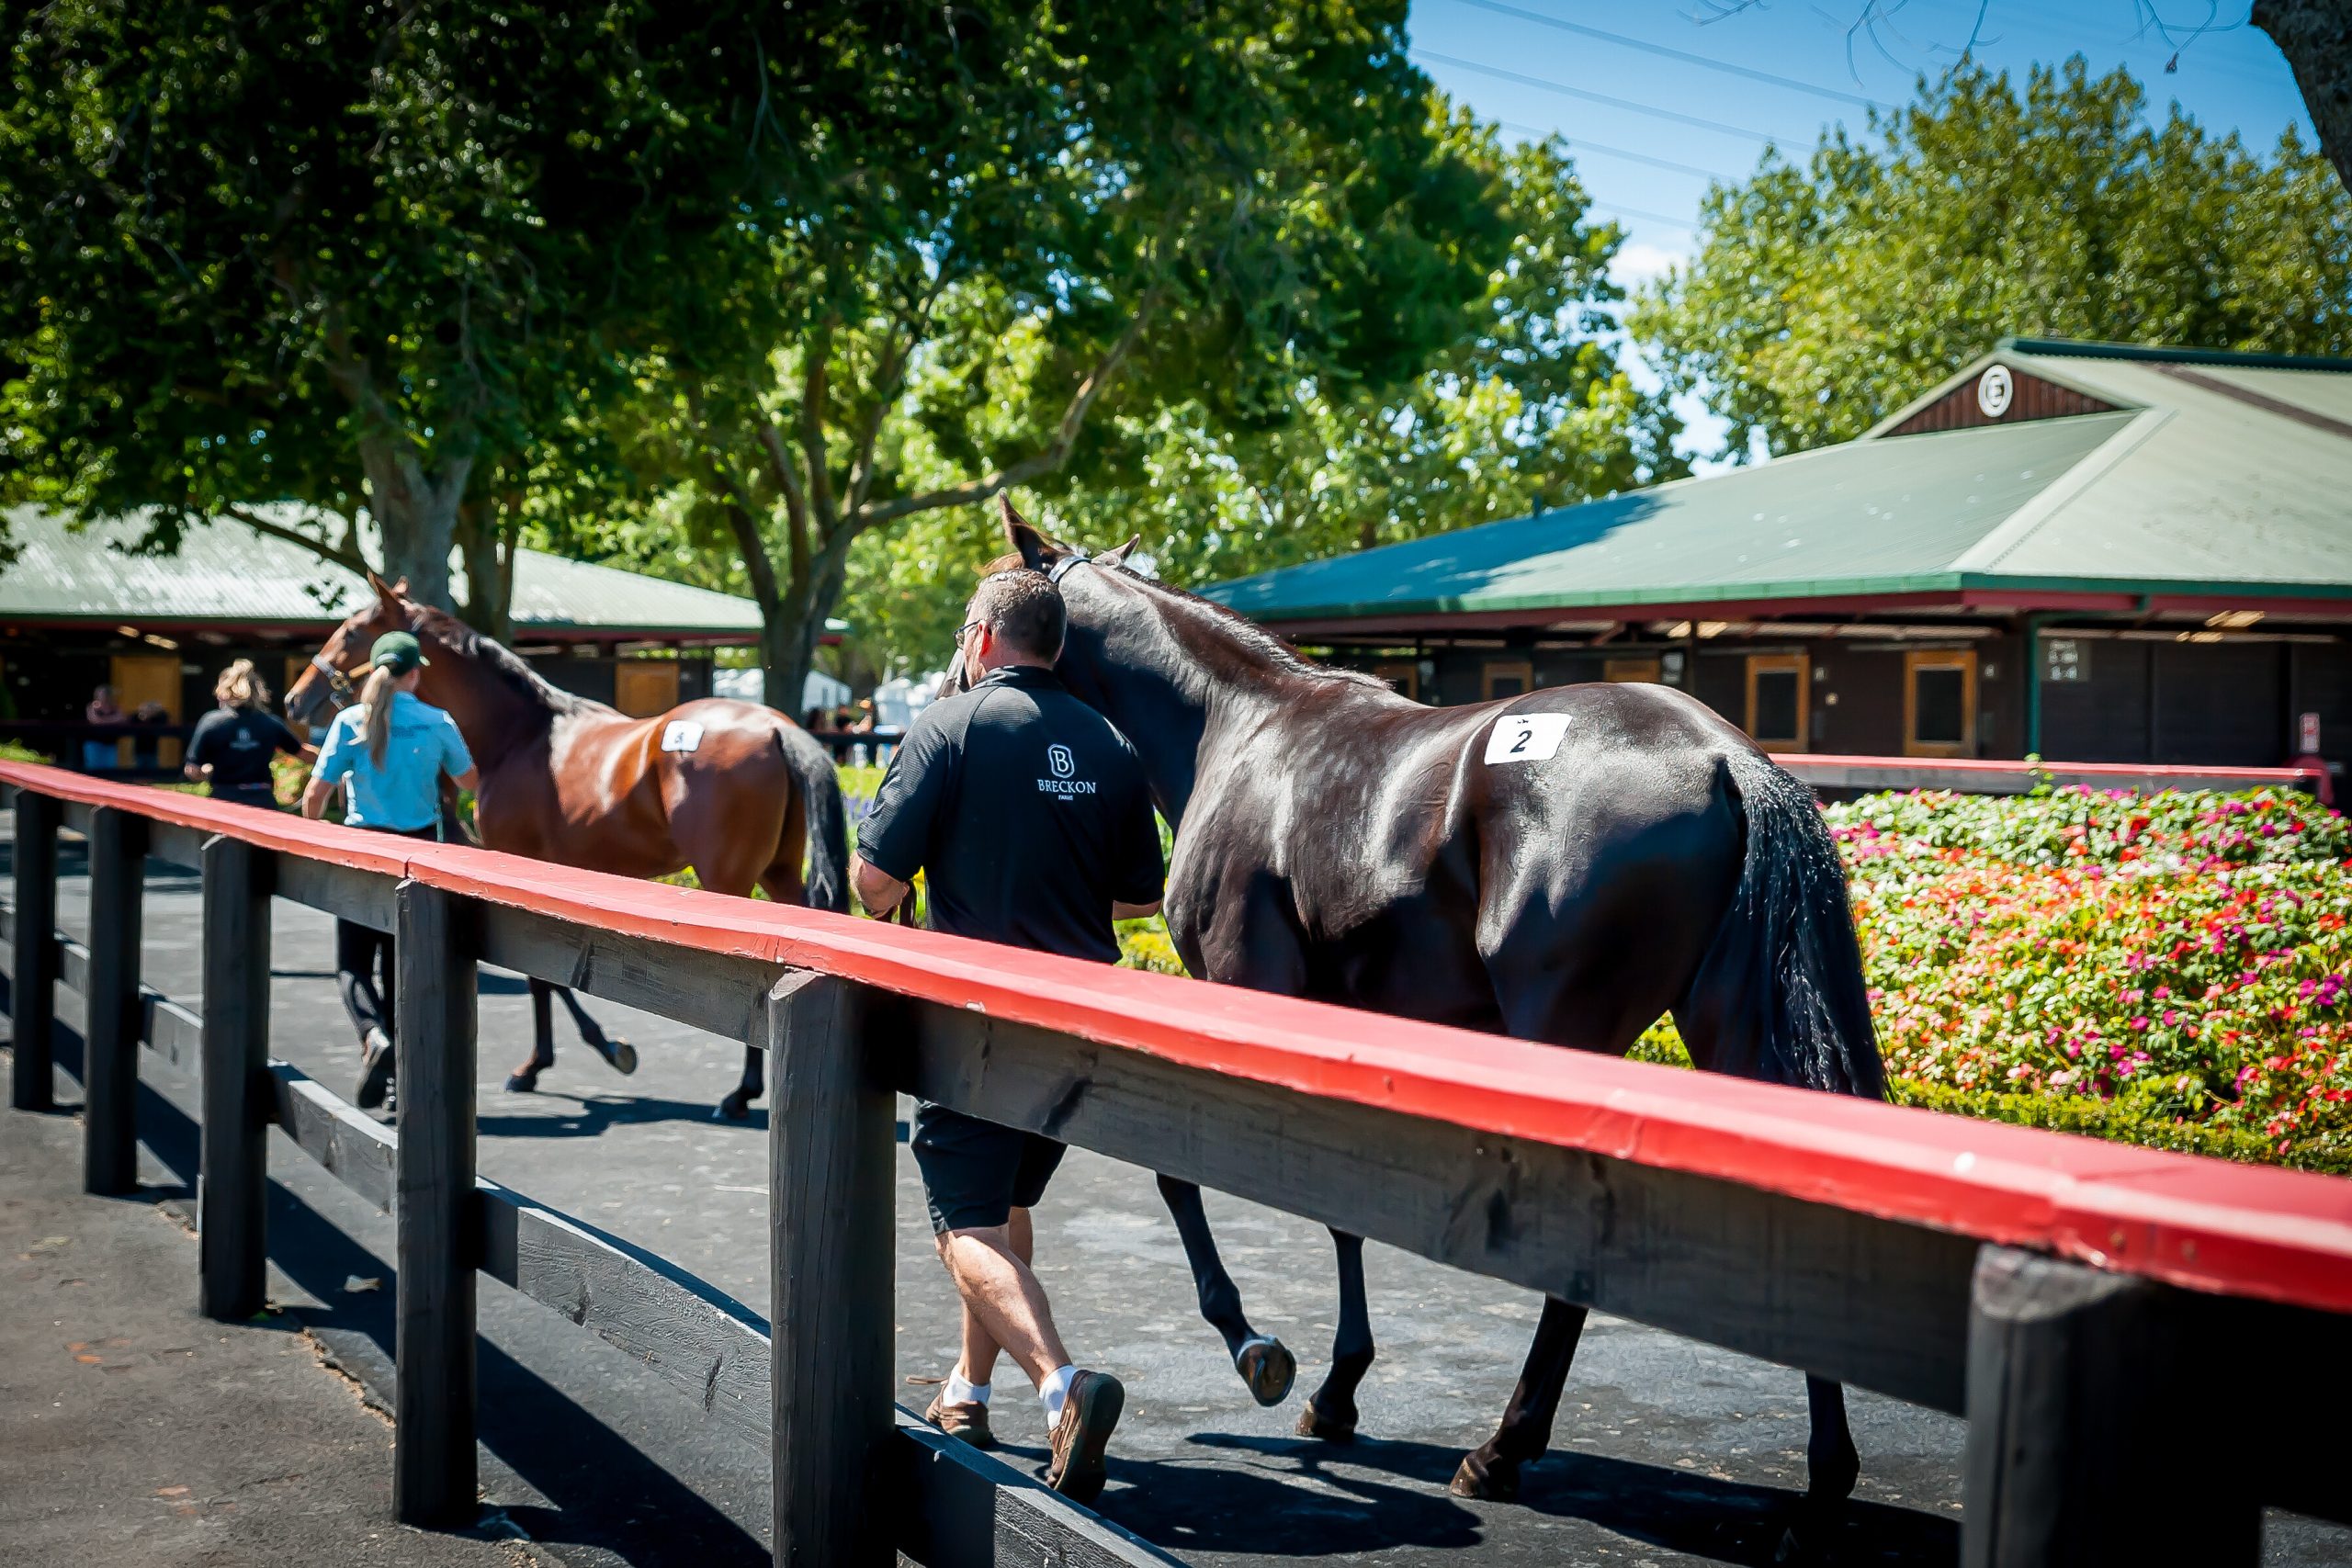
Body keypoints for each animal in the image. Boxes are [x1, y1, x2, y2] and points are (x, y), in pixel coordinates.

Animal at [288, 576, 851, 1114]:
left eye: (351, 633)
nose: (295, 698)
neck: (520, 735)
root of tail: (774, 726)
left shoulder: (523, 868)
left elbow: (544, 978)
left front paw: (561, 1059)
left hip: (727, 879)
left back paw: (740, 1093)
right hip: (778, 872)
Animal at [983, 505, 1882, 1532]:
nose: (959, 680)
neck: (1239, 727)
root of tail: (1723, 755)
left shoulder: (1243, 990)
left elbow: (1184, 1176)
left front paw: (1258, 1351)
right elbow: (1340, 1208)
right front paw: (1336, 1390)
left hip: (1563, 1028)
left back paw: (1502, 1448)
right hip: (1731, 1029)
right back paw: (1826, 1470)